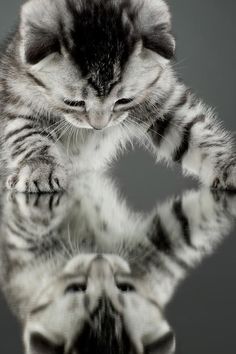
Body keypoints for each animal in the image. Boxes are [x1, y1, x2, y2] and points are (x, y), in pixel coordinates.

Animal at [0, 0, 236, 192]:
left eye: (123, 101)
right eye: (74, 102)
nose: (98, 126)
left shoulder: (163, 98)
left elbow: (198, 134)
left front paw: (228, 167)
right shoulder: (15, 101)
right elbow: (27, 136)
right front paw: (41, 169)